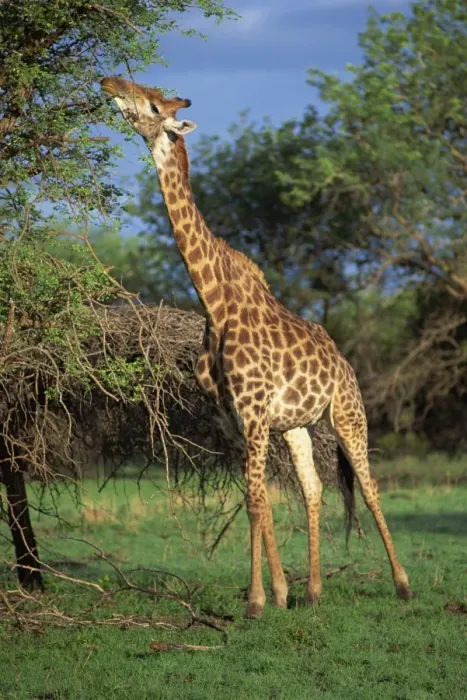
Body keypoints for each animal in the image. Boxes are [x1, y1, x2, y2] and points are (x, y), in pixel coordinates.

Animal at [101, 77, 412, 618]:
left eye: (154, 105)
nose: (109, 82)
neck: (214, 302)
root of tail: (345, 363)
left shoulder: (253, 412)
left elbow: (254, 500)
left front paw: (255, 602)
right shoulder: (235, 419)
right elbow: (261, 499)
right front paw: (281, 593)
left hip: (347, 414)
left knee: (370, 488)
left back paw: (402, 584)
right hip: (299, 426)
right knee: (313, 490)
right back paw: (314, 592)